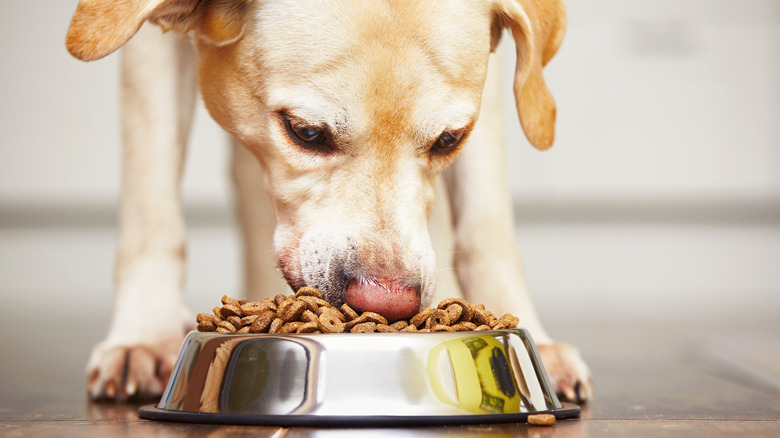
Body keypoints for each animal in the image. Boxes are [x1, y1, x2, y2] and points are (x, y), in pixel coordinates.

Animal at [68, 0, 592, 402]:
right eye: (305, 132)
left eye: (449, 139)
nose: (386, 303)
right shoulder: (146, 52)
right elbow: (151, 204)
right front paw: (145, 336)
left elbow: (488, 222)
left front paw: (529, 336)